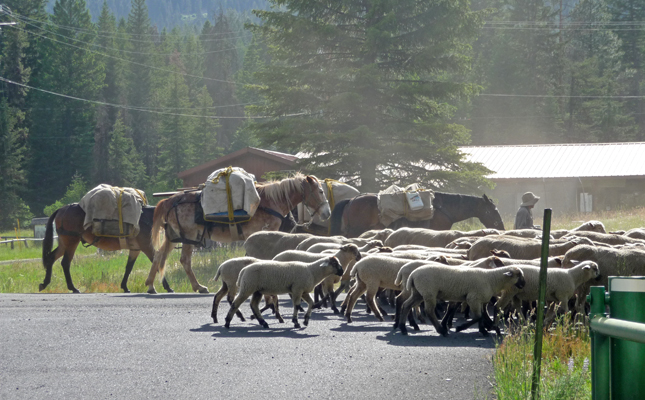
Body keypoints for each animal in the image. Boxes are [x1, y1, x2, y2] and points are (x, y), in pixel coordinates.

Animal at [39, 205, 170, 292]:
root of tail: (62, 209)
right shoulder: (146, 246)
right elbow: (157, 264)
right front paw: (166, 287)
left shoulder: (135, 249)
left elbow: (129, 267)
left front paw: (124, 286)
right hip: (72, 242)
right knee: (65, 263)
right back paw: (72, 287)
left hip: (64, 243)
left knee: (51, 258)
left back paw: (45, 283)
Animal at [143, 174, 330, 294]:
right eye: (320, 191)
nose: (327, 213)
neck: (270, 202)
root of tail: (170, 200)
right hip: (188, 237)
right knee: (184, 260)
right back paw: (198, 287)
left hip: (173, 237)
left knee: (159, 255)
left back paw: (151, 286)